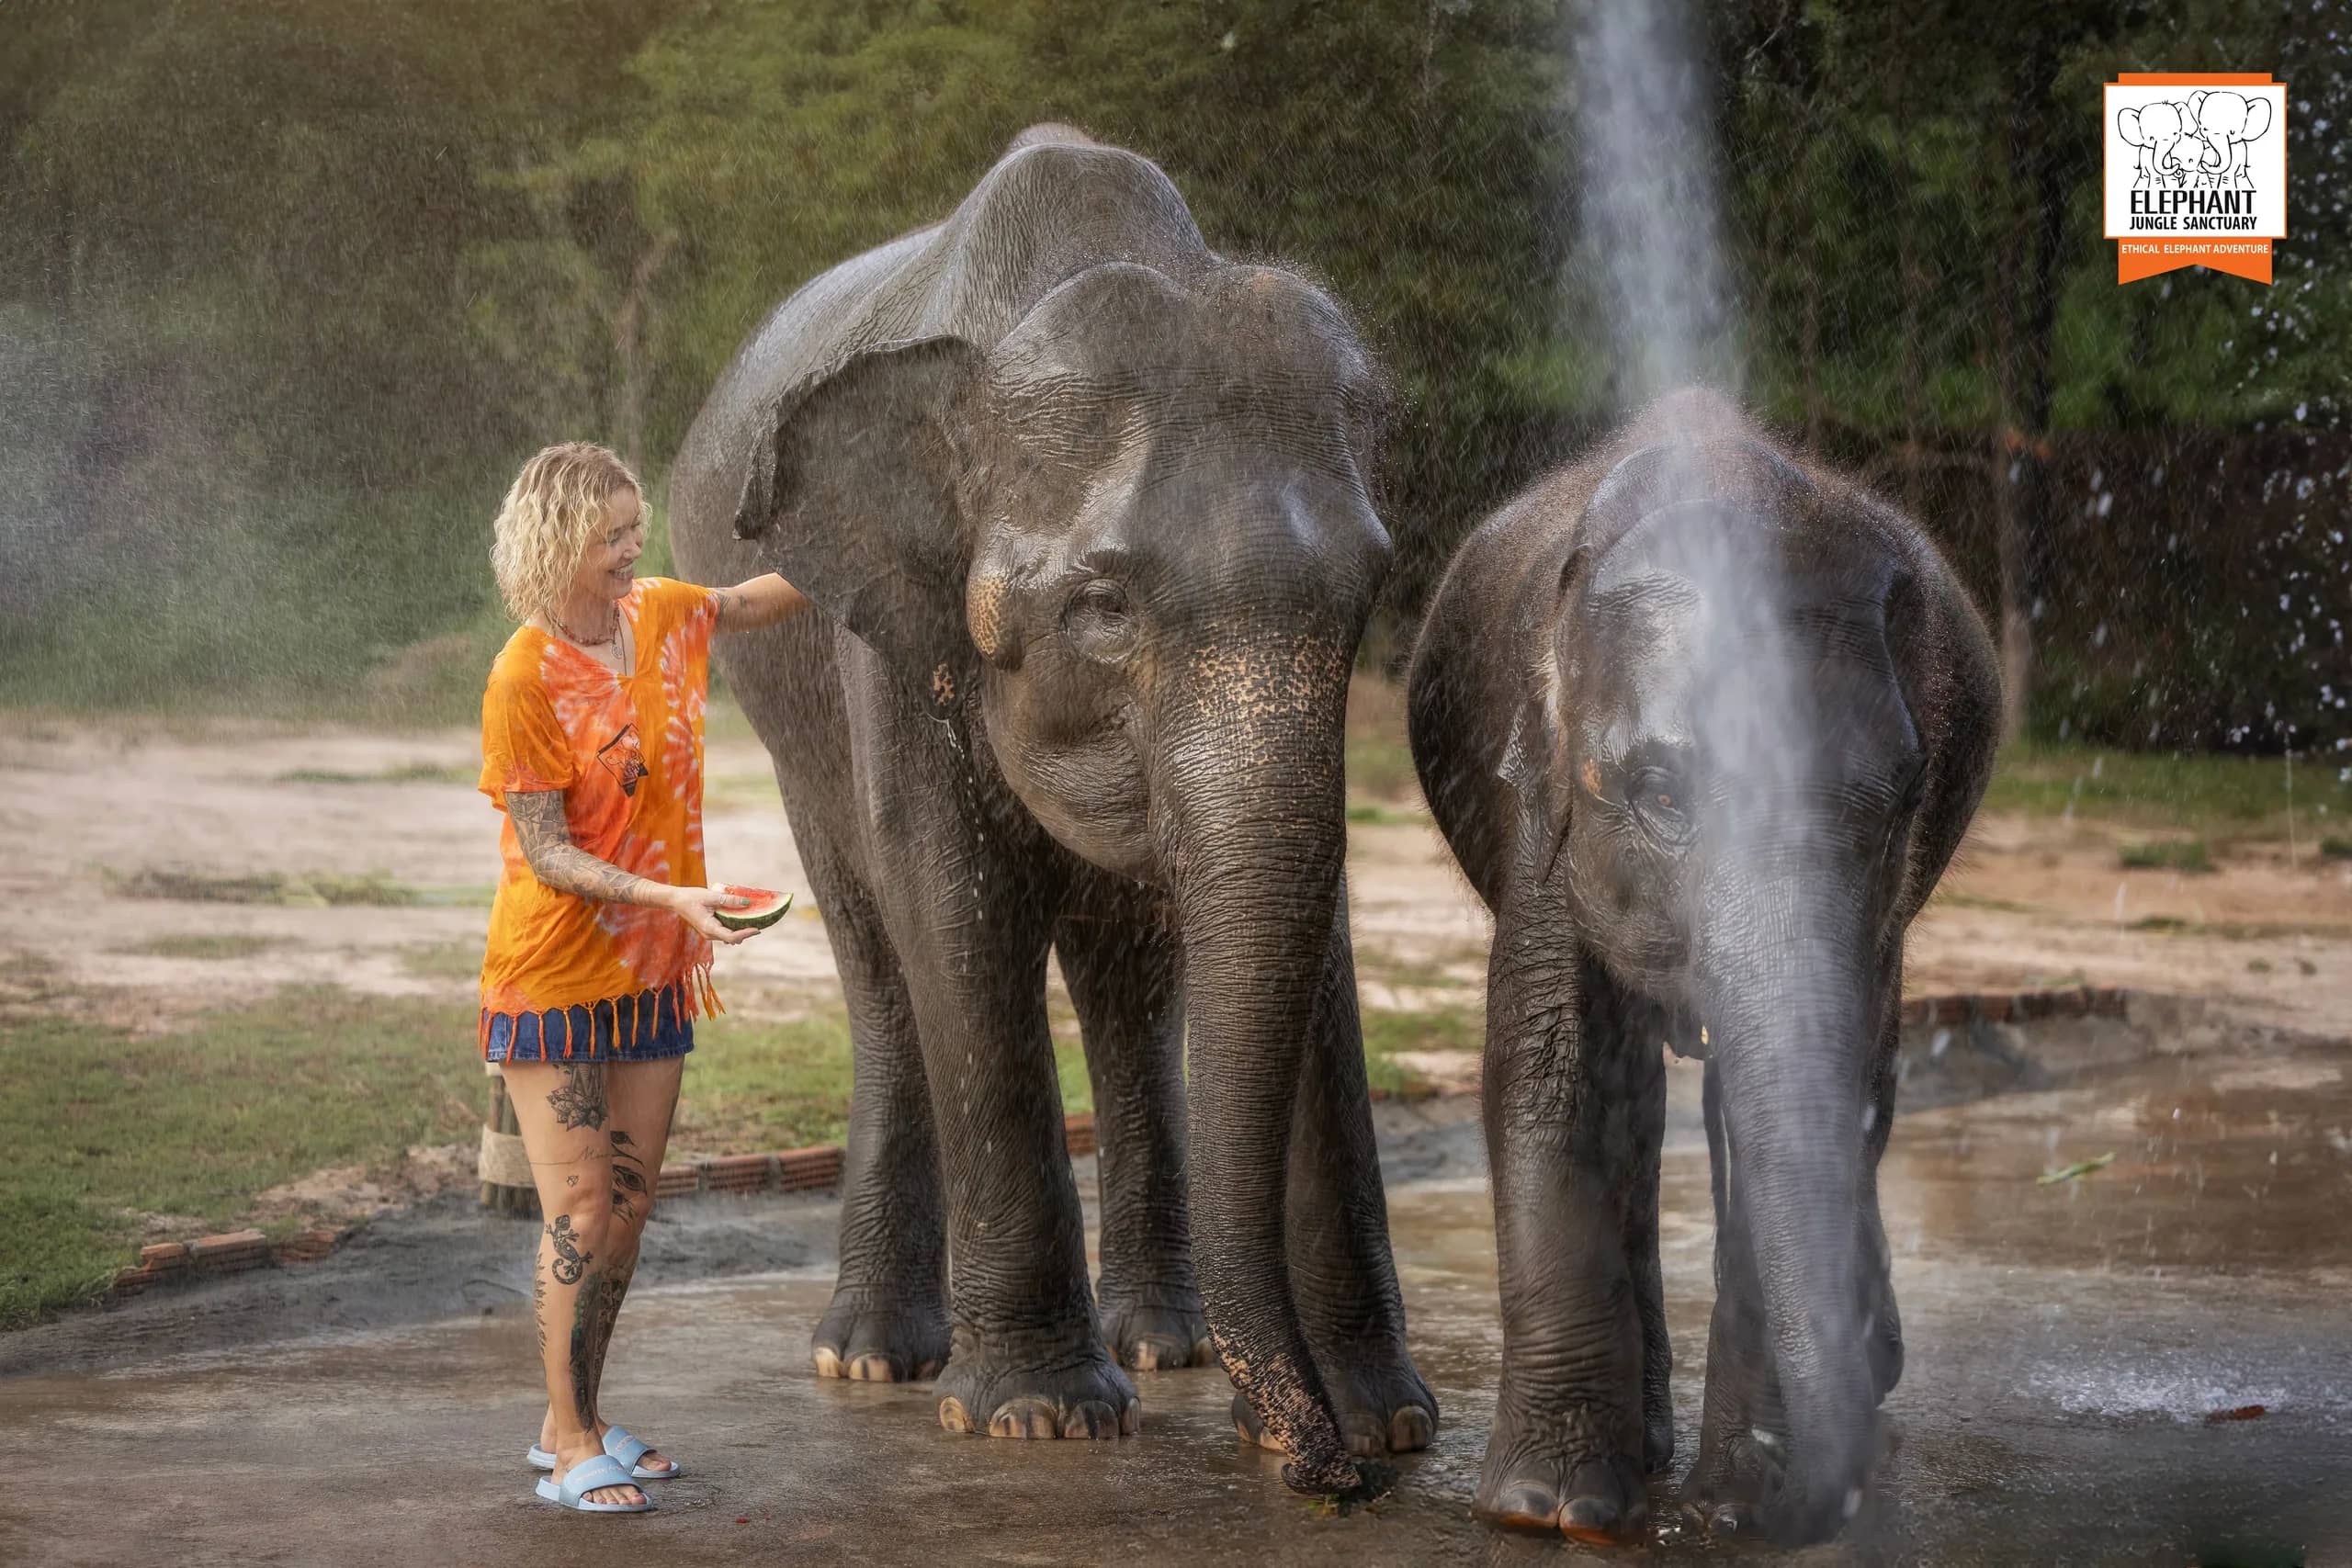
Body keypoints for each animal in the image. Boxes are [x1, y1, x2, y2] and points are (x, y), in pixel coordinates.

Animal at [668, 124, 1435, 1494]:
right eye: (1102, 608)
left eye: (1364, 594)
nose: (1324, 1475)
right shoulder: (894, 620)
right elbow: (951, 899)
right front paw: (1039, 1417)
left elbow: (1310, 933)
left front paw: (1387, 1419)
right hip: (788, 721)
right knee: (878, 957)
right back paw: (873, 1357)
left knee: (1129, 977)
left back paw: (1171, 1342)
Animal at [1405, 390, 1998, 1543]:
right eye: (1663, 796)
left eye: (1895, 803)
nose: (1810, 1504)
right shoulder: (1536, 793)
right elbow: (1551, 1066)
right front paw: (1551, 1509)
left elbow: (1831, 1088)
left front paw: (1736, 1504)